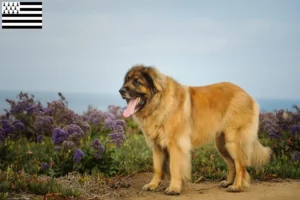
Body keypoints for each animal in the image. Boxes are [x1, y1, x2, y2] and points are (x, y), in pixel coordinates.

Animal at [119, 64, 272, 195]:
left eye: (137, 82)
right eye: (126, 81)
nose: (121, 90)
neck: (158, 102)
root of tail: (247, 95)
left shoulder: (176, 145)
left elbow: (174, 168)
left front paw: (174, 188)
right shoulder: (157, 146)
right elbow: (157, 168)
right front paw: (153, 185)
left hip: (233, 141)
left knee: (240, 165)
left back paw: (237, 186)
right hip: (222, 144)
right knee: (232, 164)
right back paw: (228, 182)